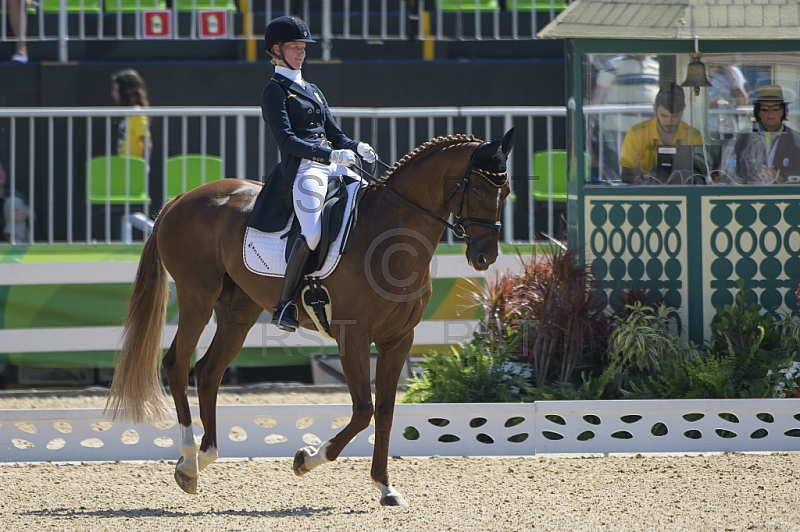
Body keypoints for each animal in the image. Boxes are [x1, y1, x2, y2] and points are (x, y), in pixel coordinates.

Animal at [104, 130, 512, 508]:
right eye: (478, 188)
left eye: (505, 191)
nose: (485, 256)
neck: (390, 234)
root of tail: (182, 198)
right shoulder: (353, 336)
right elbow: (363, 410)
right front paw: (306, 458)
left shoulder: (399, 339)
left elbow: (385, 410)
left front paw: (385, 487)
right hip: (197, 297)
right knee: (177, 363)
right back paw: (188, 462)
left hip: (239, 311)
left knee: (208, 371)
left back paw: (204, 457)